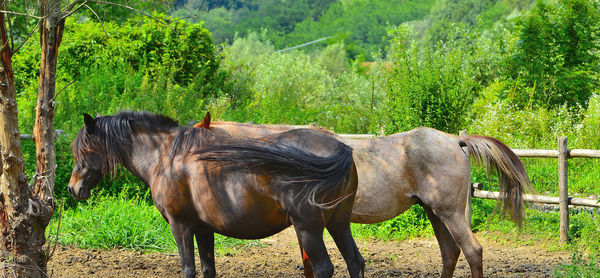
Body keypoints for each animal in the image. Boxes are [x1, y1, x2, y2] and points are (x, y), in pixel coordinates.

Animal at [67, 111, 364, 278]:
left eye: (84, 150)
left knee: (325, 269)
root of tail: (340, 148)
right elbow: (208, 269)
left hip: (309, 230)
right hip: (338, 224)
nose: (73, 188)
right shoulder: (203, 228)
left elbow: (188, 269)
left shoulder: (180, 226)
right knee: (355, 262)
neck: (166, 156)